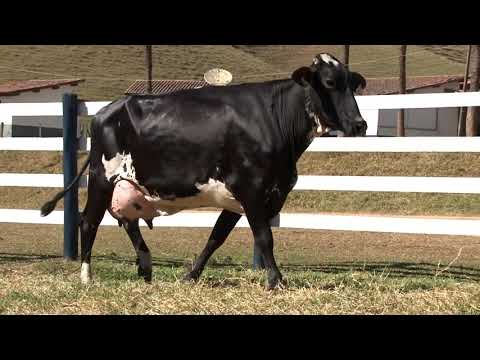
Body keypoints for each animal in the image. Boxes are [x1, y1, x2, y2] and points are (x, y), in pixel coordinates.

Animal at [41, 53, 368, 290]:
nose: (360, 124)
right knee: (89, 222)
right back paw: (87, 277)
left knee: (128, 221)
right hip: (102, 177)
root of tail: (105, 111)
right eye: (329, 82)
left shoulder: (246, 196)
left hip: (130, 184)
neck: (276, 120)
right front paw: (276, 281)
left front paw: (191, 275)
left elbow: (216, 237)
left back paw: (146, 266)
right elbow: (264, 236)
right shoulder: (251, 188)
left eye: (351, 84)